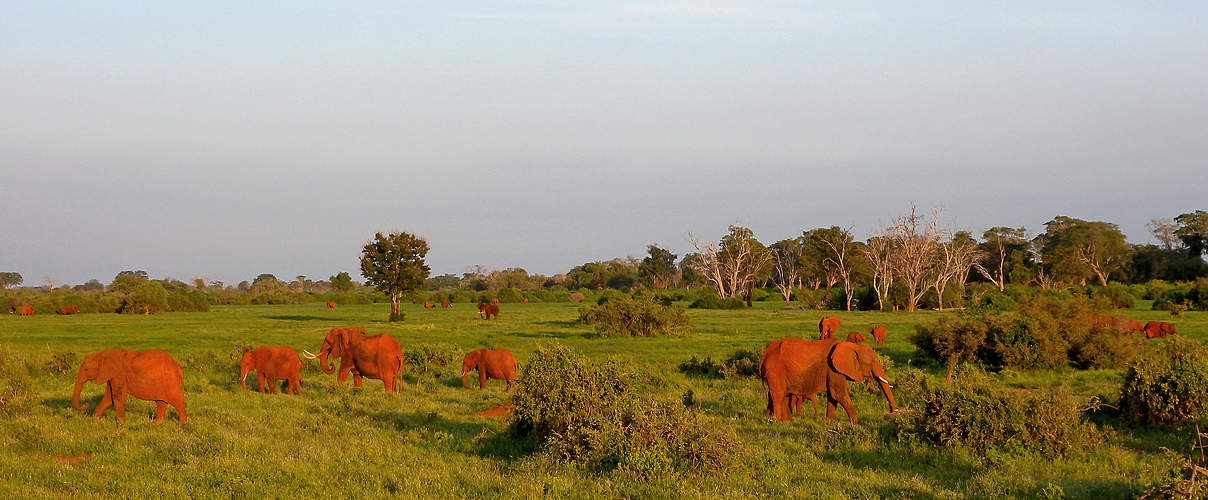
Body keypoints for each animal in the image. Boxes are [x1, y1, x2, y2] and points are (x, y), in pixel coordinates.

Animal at [753, 338, 898, 422]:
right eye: (873, 361)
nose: (891, 414)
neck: (852, 346)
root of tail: (765, 354)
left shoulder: (833, 370)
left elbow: (833, 396)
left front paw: (829, 422)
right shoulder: (833, 368)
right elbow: (837, 393)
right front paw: (857, 424)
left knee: (781, 395)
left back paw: (784, 420)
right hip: (775, 370)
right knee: (778, 395)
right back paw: (778, 422)